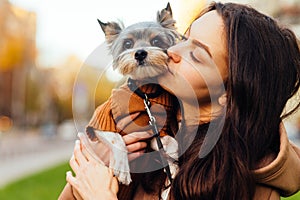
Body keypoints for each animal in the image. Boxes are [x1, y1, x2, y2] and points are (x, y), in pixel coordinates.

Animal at [86, 3, 180, 185]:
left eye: (156, 41)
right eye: (128, 44)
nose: (140, 53)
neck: (144, 93)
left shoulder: (154, 132)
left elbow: (168, 142)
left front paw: (173, 160)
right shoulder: (100, 120)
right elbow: (116, 138)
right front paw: (122, 168)